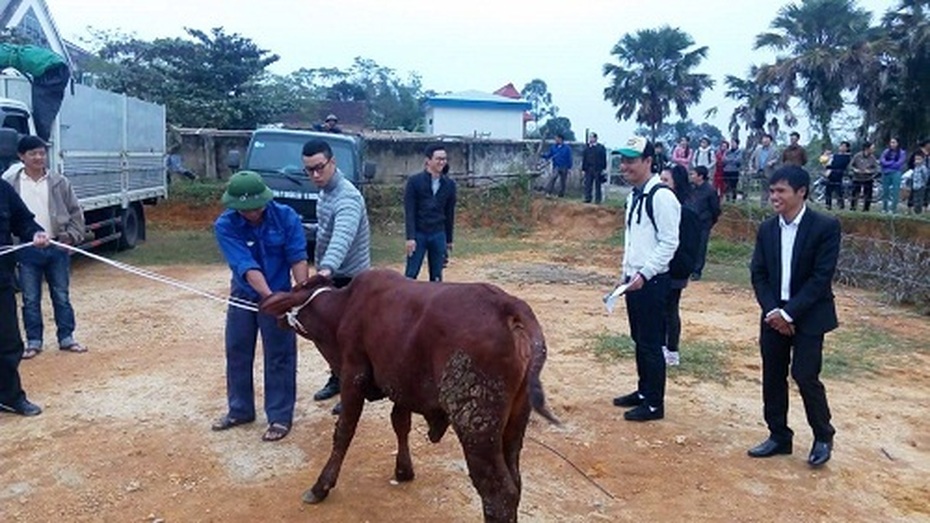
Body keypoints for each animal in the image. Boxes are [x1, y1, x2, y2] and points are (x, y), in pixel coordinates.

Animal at [258, 270, 556, 523]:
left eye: (296, 288)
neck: (343, 309)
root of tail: (508, 305)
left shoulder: (353, 375)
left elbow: (344, 432)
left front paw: (321, 486)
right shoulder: (401, 387)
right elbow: (400, 424)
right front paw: (404, 471)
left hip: (476, 425)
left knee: (498, 493)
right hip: (515, 423)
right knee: (515, 483)